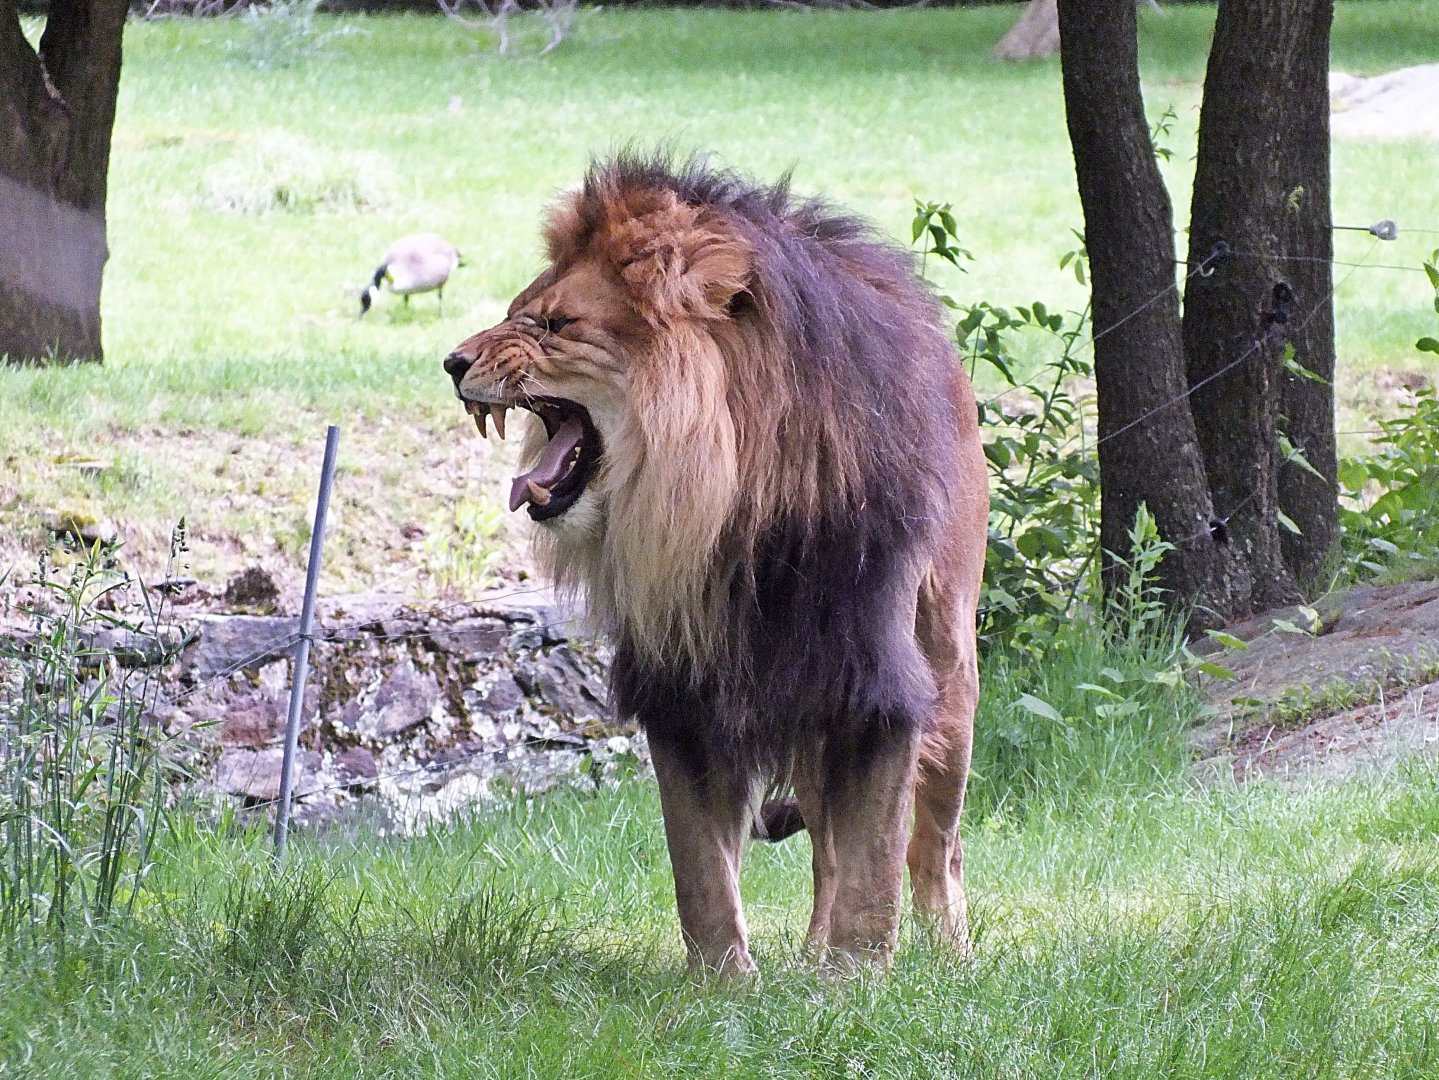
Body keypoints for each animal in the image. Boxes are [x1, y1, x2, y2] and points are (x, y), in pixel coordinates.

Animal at [442, 154, 988, 973]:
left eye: (556, 325)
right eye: (517, 310)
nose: (451, 363)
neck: (728, 508)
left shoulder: (873, 677)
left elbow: (876, 866)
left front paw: (856, 979)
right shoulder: (682, 689)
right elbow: (700, 868)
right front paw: (725, 982)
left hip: (950, 674)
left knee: (935, 845)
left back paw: (948, 952)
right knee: (827, 848)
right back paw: (809, 954)